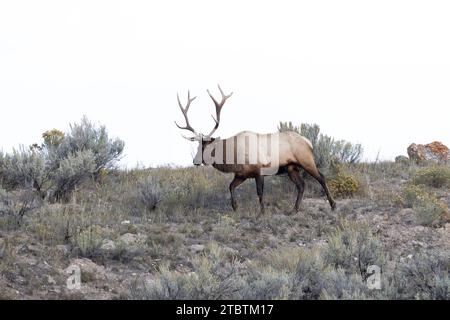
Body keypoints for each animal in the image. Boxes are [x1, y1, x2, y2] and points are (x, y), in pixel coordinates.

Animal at [174, 86, 336, 214]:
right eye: (197, 145)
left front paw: (262, 212)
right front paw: (235, 207)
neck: (233, 157)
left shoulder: (260, 170)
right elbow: (230, 187)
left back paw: (333, 205)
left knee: (321, 177)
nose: (195, 161)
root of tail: (308, 142)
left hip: (306, 160)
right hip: (291, 167)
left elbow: (259, 192)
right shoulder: (241, 174)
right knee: (301, 185)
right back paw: (294, 209)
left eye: (207, 146)